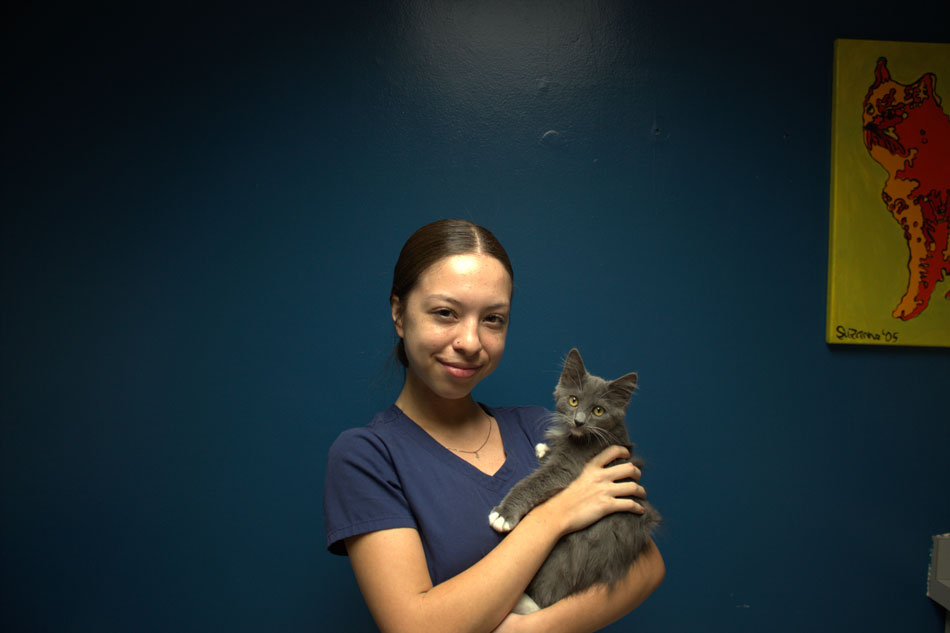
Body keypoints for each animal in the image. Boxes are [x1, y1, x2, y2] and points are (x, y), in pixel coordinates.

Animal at [490, 348, 660, 608]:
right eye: (573, 400)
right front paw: (545, 449)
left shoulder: (568, 468)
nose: (579, 421)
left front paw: (503, 514)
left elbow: (531, 483)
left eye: (598, 410)